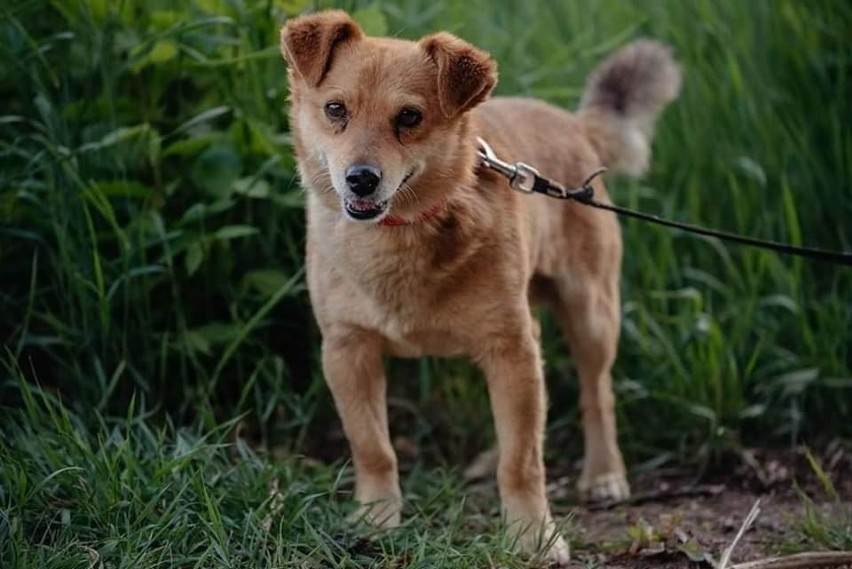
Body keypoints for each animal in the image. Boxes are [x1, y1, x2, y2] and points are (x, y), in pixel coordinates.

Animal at [282, 10, 684, 564]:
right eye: (335, 109)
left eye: (409, 117)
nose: (361, 179)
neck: (400, 235)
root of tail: (575, 125)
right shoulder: (347, 351)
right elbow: (373, 448)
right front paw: (376, 520)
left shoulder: (509, 348)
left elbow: (522, 464)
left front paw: (533, 536)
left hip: (591, 315)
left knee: (595, 394)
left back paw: (604, 473)